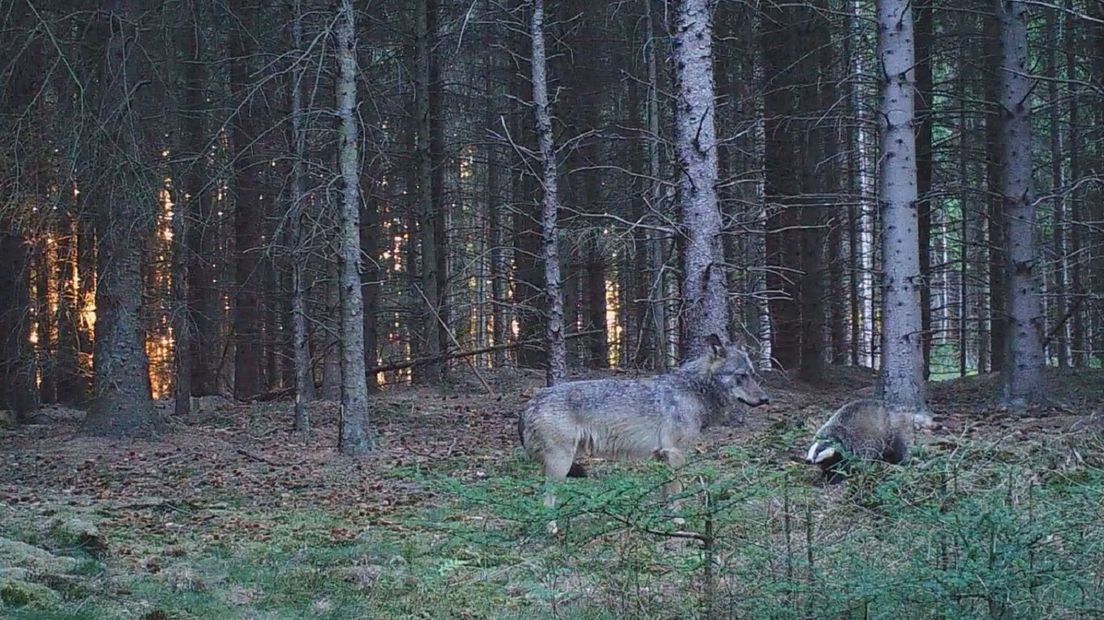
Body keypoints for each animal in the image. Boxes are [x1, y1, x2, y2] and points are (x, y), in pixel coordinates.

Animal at [516, 333, 768, 531]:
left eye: (753, 374)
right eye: (741, 375)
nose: (766, 399)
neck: (692, 390)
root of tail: (532, 401)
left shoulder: (662, 457)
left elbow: (665, 493)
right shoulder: (675, 454)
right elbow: (677, 493)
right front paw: (679, 521)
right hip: (561, 465)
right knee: (547, 499)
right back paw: (552, 528)